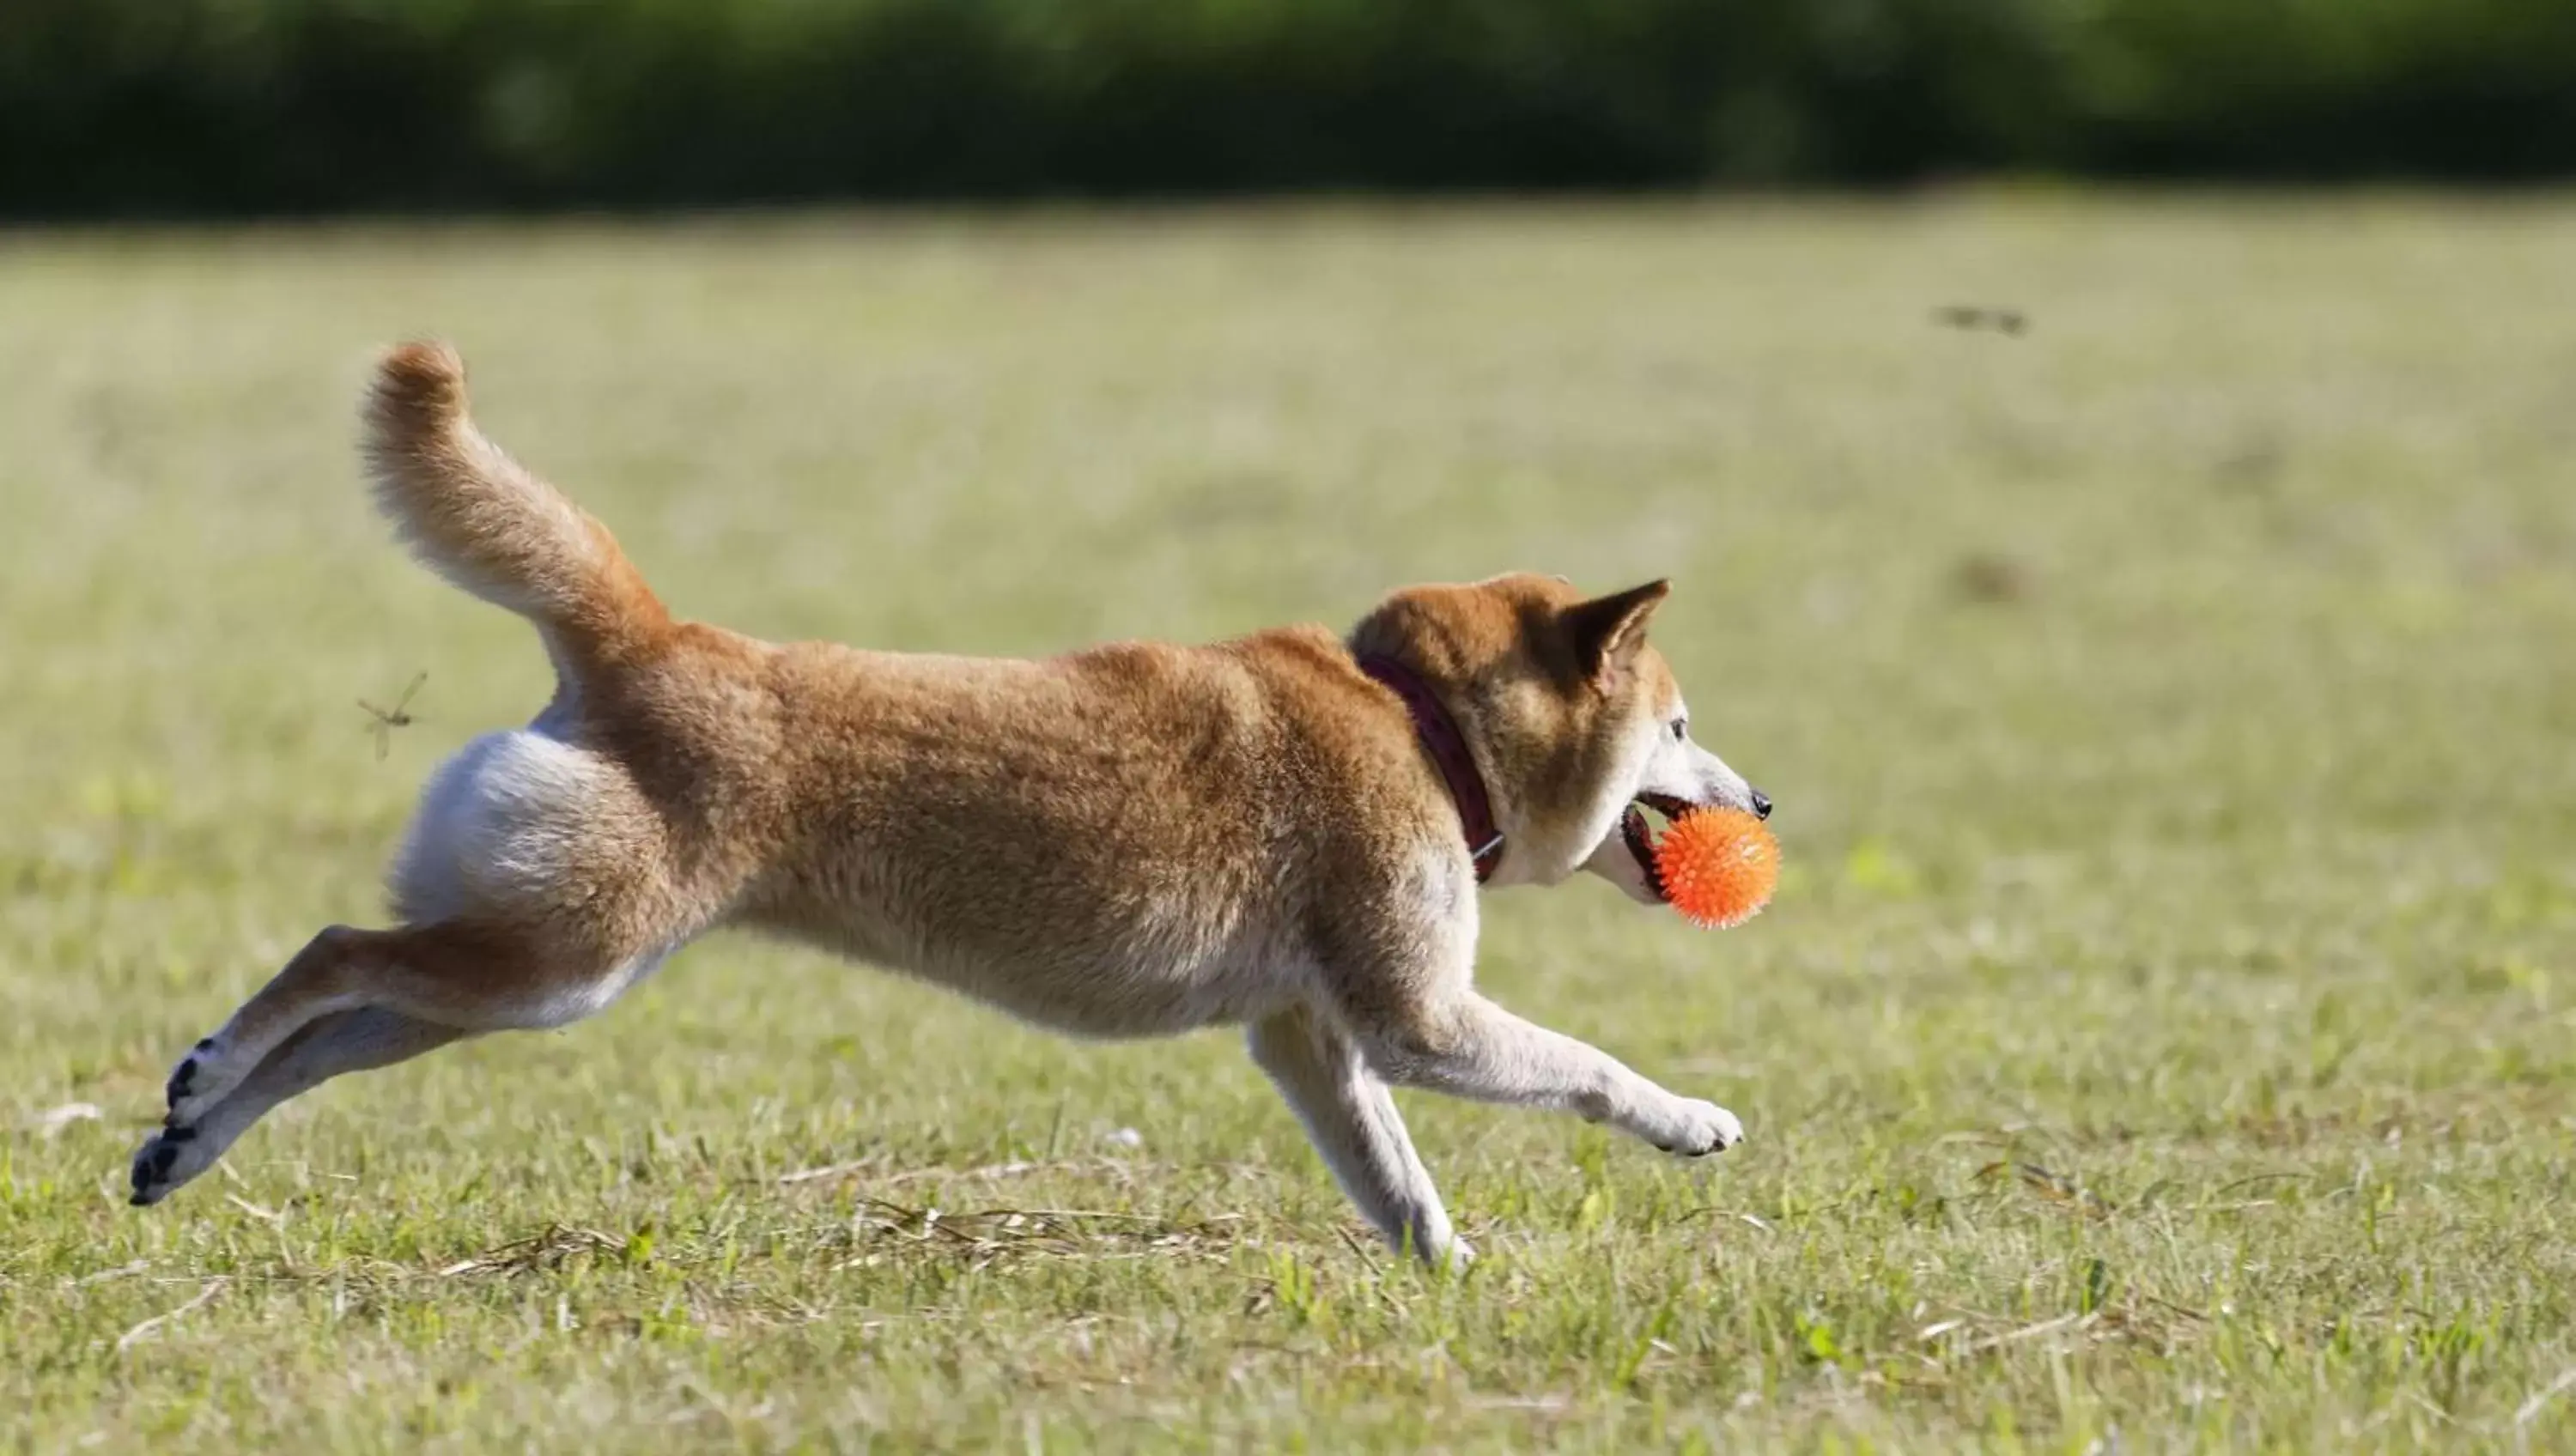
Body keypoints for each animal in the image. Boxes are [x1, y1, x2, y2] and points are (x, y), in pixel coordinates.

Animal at [125, 343, 1772, 1262]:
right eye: (1683, 727)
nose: (1762, 795)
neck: (1420, 723)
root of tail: (651, 635)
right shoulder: (1415, 1016)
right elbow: (1588, 1068)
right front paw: (1691, 1119)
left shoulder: (1311, 1039)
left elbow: (1398, 1185)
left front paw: (1456, 1283)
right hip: (561, 955)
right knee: (333, 953)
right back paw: (204, 1073)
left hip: (528, 967)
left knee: (338, 1027)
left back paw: (186, 1135)